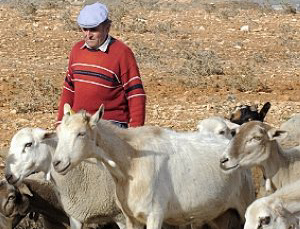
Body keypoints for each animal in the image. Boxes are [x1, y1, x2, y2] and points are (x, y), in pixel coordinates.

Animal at [52, 104, 254, 229]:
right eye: (59, 133)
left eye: (81, 133)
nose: (57, 163)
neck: (130, 162)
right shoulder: (130, 217)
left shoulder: (155, 215)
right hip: (221, 213)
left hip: (246, 204)